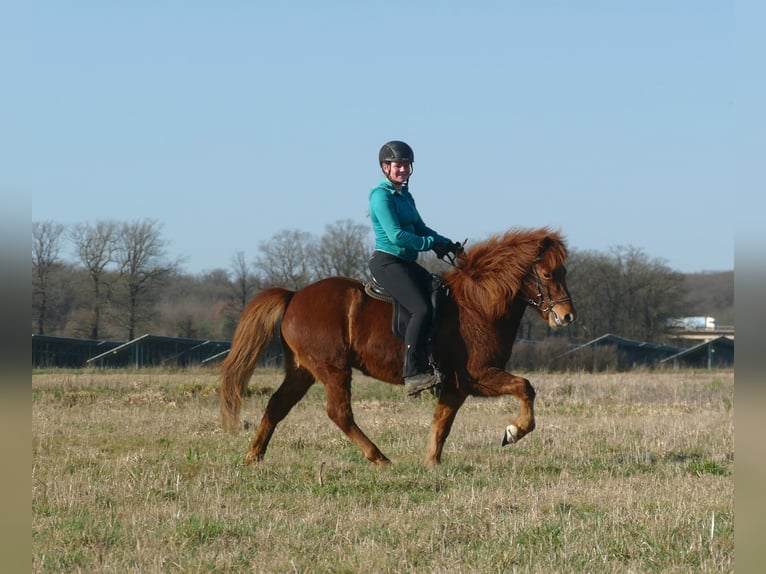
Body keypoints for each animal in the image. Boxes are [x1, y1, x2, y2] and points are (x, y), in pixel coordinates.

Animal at [220, 227, 576, 466]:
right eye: (547, 273)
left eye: (564, 271)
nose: (567, 316)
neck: (480, 304)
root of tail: (295, 296)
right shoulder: (479, 375)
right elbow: (525, 387)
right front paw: (514, 431)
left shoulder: (457, 385)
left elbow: (442, 422)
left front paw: (432, 462)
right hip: (333, 369)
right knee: (339, 413)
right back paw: (378, 457)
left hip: (302, 371)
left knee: (277, 405)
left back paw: (253, 455)